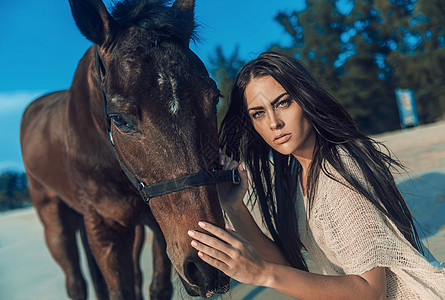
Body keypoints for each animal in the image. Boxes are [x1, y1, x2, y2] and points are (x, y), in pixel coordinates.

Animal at [19, 0, 231, 298]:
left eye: (214, 99)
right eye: (119, 119)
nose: (208, 268)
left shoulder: (157, 225)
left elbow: (157, 286)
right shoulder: (104, 231)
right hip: (55, 221)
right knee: (75, 281)